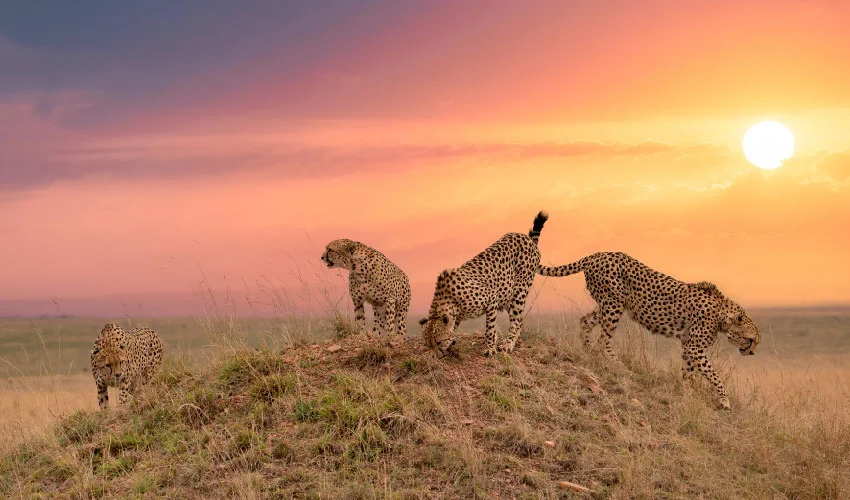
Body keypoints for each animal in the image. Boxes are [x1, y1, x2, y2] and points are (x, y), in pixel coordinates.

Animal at [420, 211, 548, 360]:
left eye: (439, 342)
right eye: (428, 344)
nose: (436, 355)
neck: (449, 299)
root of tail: (526, 238)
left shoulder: (491, 298)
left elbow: (490, 329)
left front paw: (490, 348)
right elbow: (454, 329)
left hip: (519, 292)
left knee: (516, 320)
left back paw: (508, 344)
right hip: (506, 296)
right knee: (520, 320)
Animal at [540, 252, 760, 408]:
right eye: (751, 340)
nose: (752, 353)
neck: (723, 315)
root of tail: (598, 254)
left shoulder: (688, 346)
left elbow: (688, 372)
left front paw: (687, 392)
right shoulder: (695, 348)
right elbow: (713, 375)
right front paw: (724, 400)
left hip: (607, 303)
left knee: (586, 321)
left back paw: (588, 352)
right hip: (614, 304)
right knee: (603, 339)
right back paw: (615, 364)